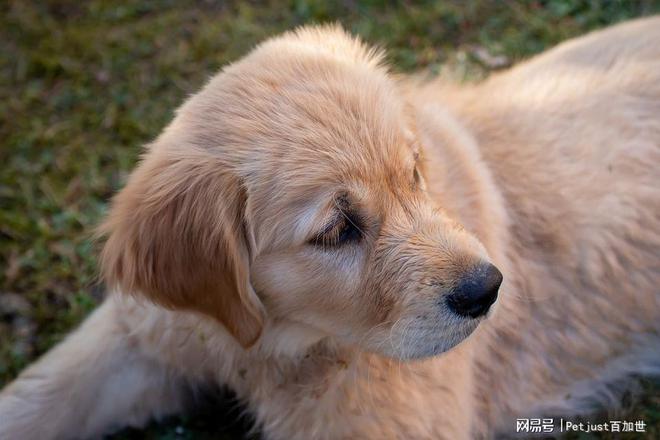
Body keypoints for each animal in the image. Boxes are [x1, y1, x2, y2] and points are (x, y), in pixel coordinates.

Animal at [1, 16, 660, 436]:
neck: (274, 345)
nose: (489, 289)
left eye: (414, 174)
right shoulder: (146, 329)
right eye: (335, 231)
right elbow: (37, 395)